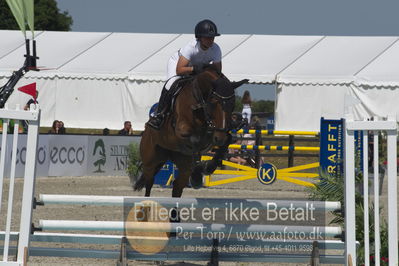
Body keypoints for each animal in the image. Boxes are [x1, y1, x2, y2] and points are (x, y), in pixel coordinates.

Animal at [134, 65, 247, 197]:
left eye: (233, 103)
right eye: (214, 103)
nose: (220, 138)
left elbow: (228, 139)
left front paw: (209, 167)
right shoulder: (182, 132)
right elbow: (194, 141)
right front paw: (198, 173)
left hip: (181, 164)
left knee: (177, 186)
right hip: (150, 160)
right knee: (149, 181)